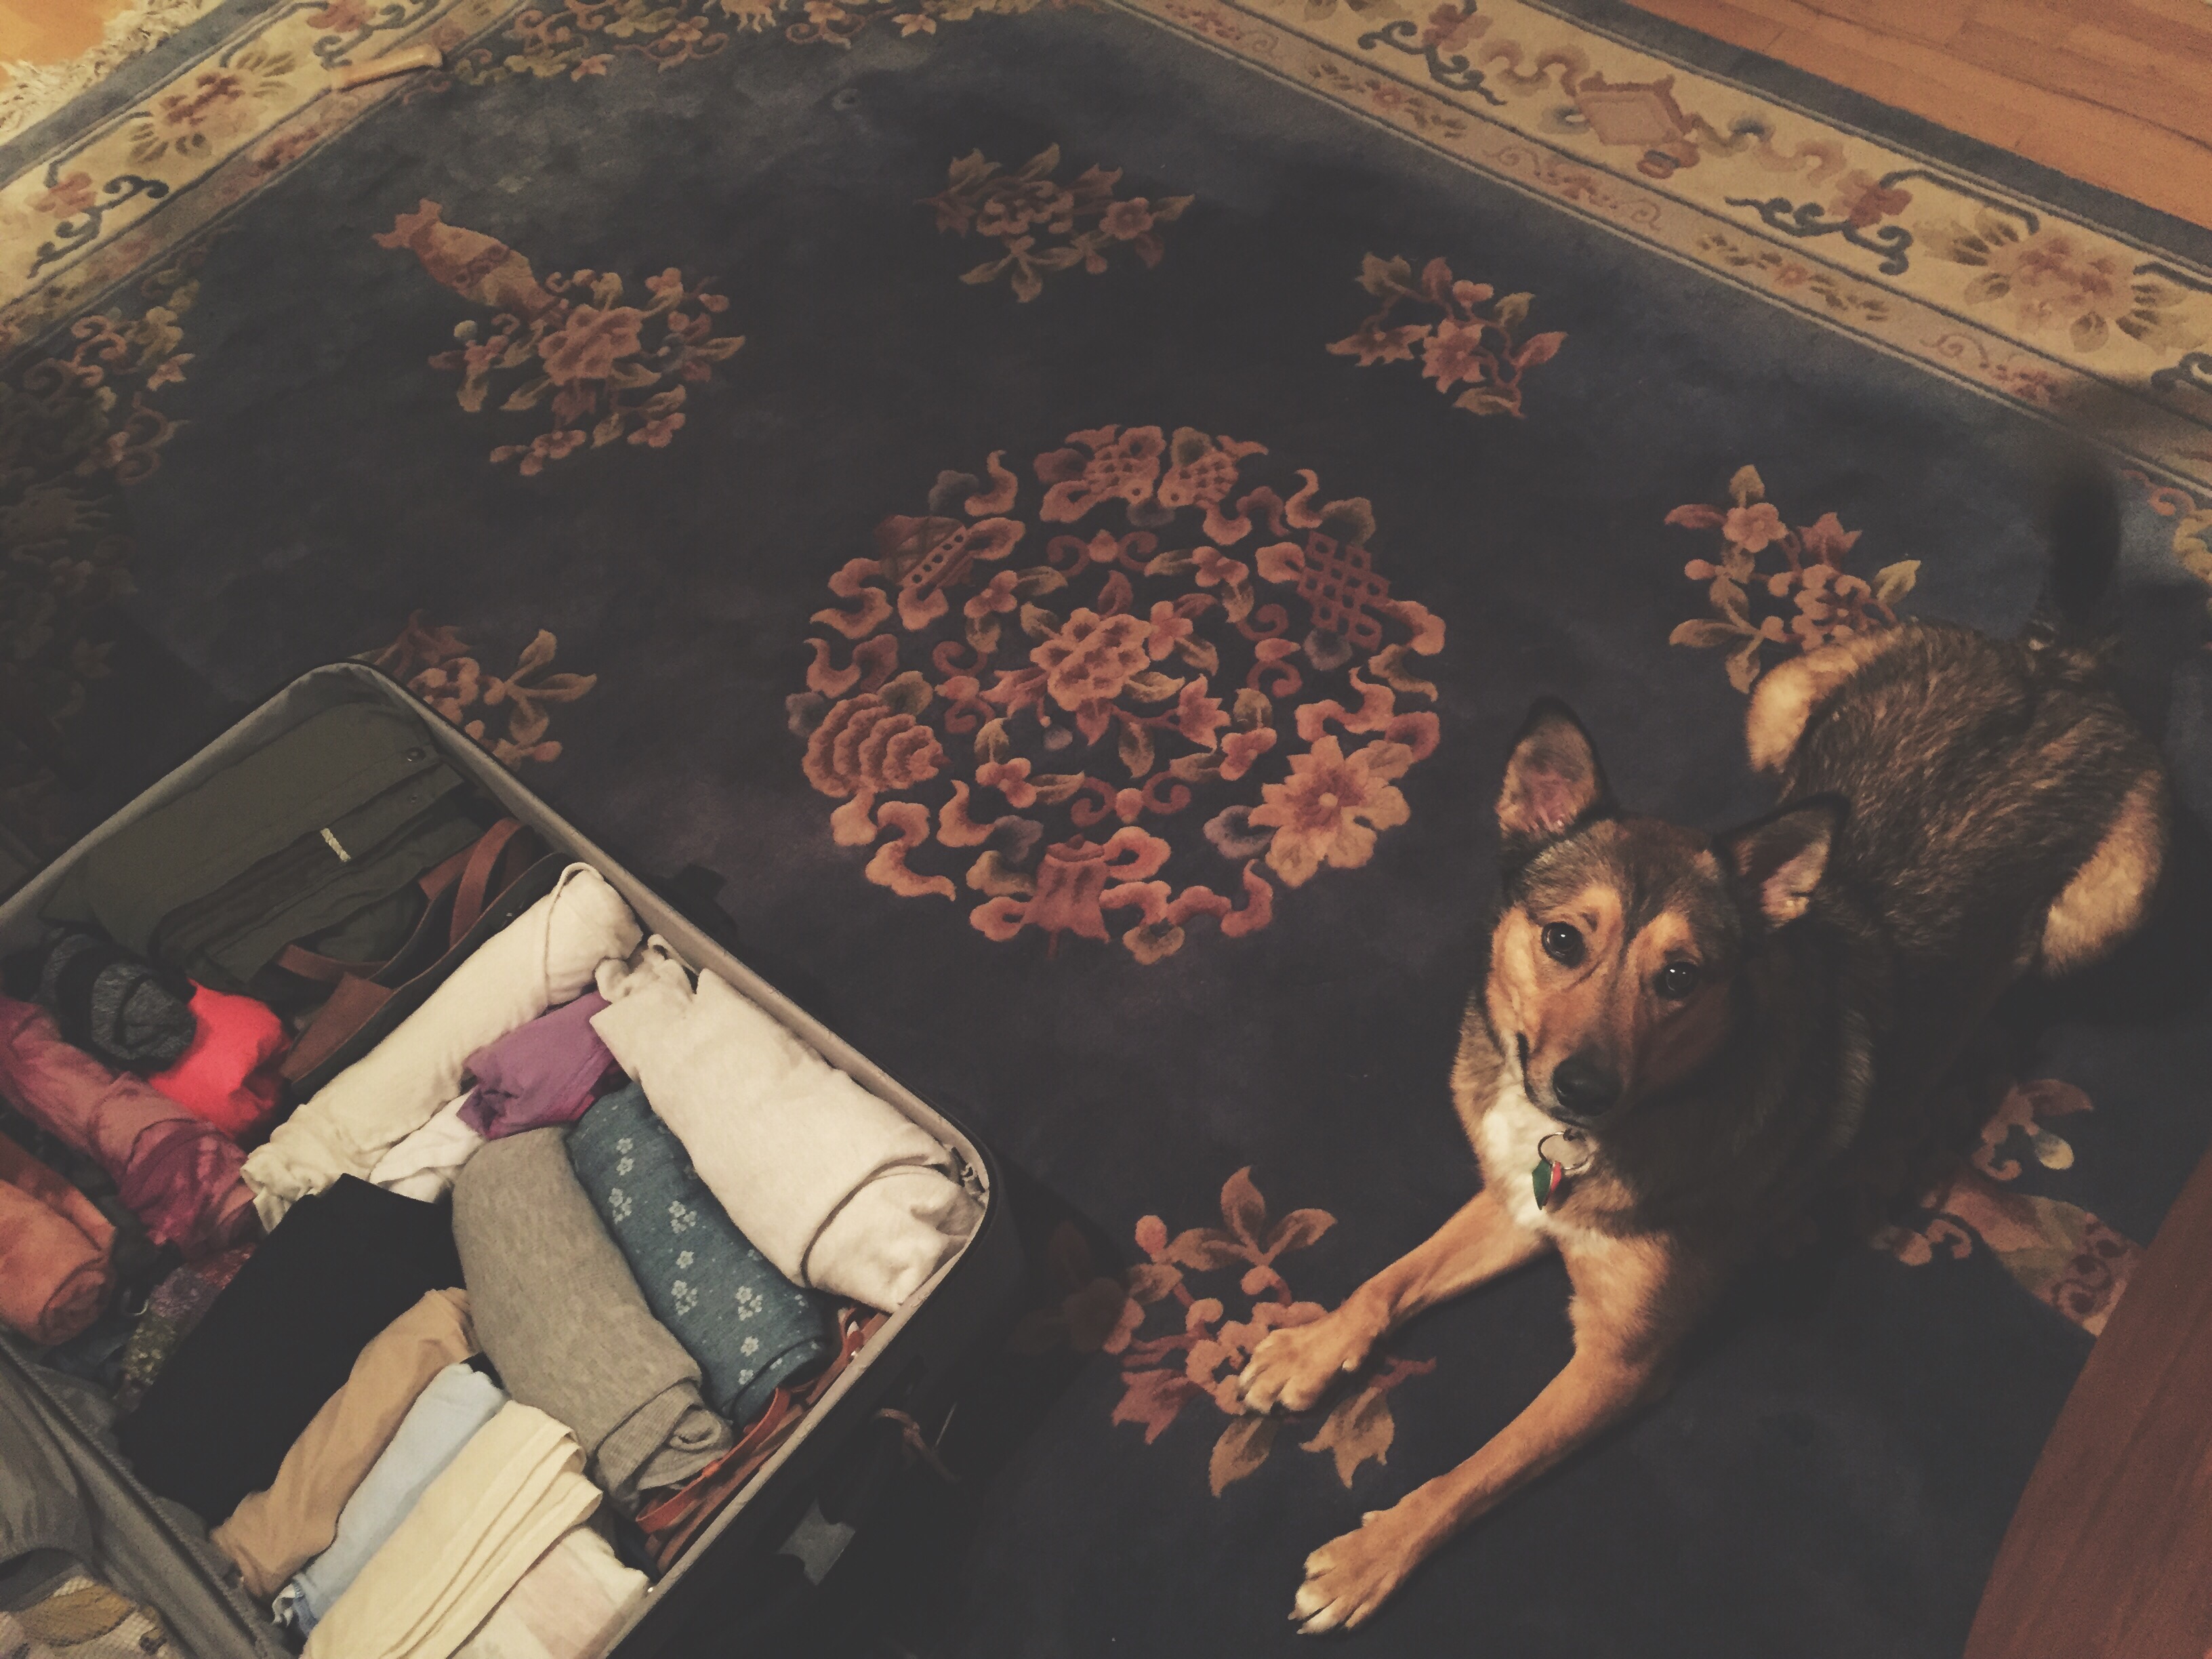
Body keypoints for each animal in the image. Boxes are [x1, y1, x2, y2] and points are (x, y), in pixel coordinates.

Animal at [1231, 469, 2170, 1633]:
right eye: (1562, 940)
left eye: (1680, 978)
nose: (1582, 1087)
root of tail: (2057, 667)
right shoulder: (1513, 1201)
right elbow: (1387, 1283)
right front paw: (1310, 1347)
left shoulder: (1621, 1364)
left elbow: (1475, 1474)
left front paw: (1373, 1555)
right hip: (1776, 700)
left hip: (2102, 915)